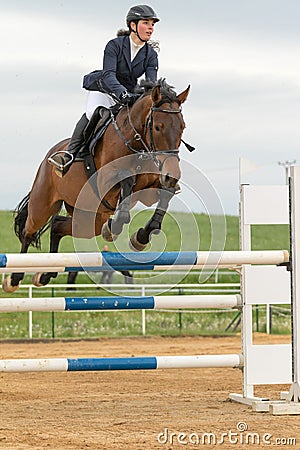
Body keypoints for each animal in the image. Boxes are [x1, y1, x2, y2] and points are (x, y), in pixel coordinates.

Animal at [1, 79, 190, 294]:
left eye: (182, 127)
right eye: (158, 127)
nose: (172, 175)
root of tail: (49, 155)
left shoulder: (151, 189)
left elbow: (165, 195)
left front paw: (141, 237)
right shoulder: (105, 182)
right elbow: (127, 181)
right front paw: (117, 226)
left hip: (90, 219)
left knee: (57, 225)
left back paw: (45, 275)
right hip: (43, 204)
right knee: (28, 231)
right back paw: (14, 279)